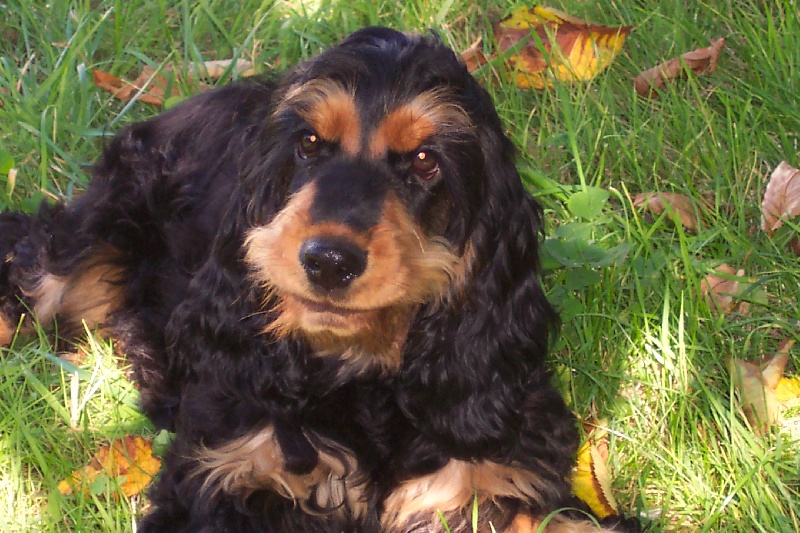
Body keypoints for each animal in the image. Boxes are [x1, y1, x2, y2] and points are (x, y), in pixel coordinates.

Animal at [0, 28, 636, 532]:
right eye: (308, 143)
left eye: (426, 160)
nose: (328, 261)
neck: (363, 376)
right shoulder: (234, 470)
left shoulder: (494, 470)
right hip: (96, 232)